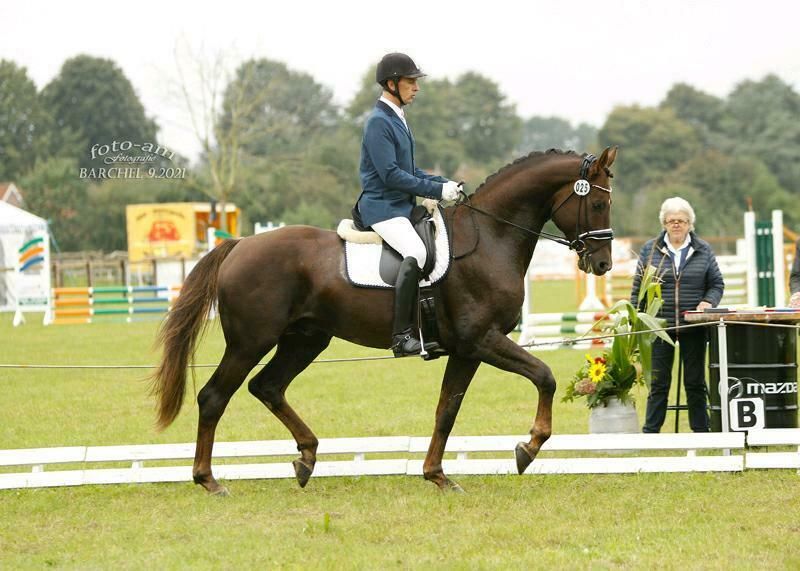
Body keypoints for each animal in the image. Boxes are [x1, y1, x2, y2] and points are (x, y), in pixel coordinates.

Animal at [150, 145, 616, 494]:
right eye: (597, 202)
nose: (603, 264)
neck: (489, 239)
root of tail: (241, 244)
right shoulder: (482, 339)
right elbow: (544, 376)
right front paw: (528, 448)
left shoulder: (467, 350)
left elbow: (447, 409)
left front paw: (437, 476)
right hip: (250, 342)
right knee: (214, 396)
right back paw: (209, 480)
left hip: (305, 339)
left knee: (267, 386)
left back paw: (306, 457)